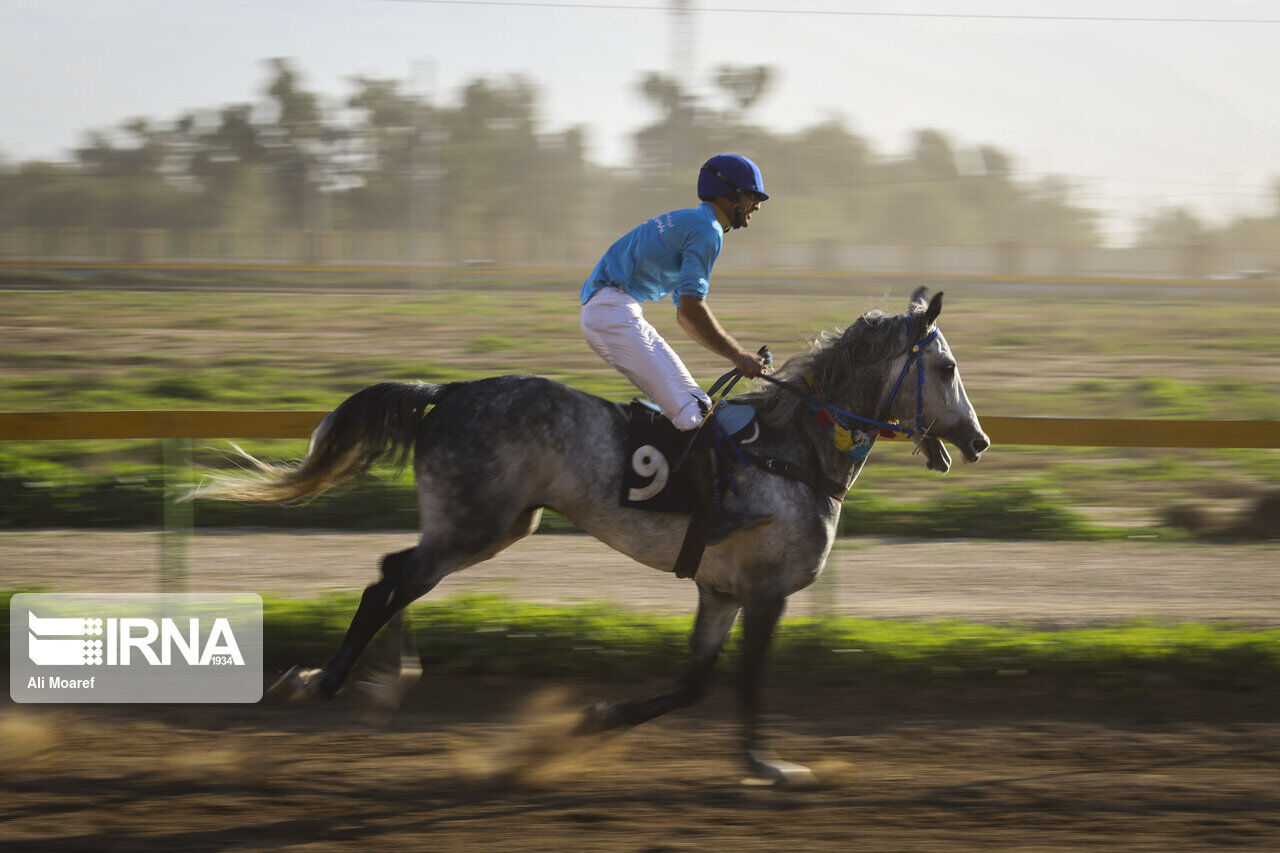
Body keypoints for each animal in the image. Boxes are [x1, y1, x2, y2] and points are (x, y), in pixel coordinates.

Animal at [194, 286, 988, 783]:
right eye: (947, 366)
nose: (978, 440)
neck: (796, 453)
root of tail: (447, 390)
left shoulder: (720, 590)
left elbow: (693, 684)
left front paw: (593, 719)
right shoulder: (767, 593)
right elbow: (746, 683)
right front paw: (769, 764)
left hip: (493, 525)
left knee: (398, 575)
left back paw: (384, 683)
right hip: (476, 522)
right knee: (388, 579)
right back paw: (326, 680)